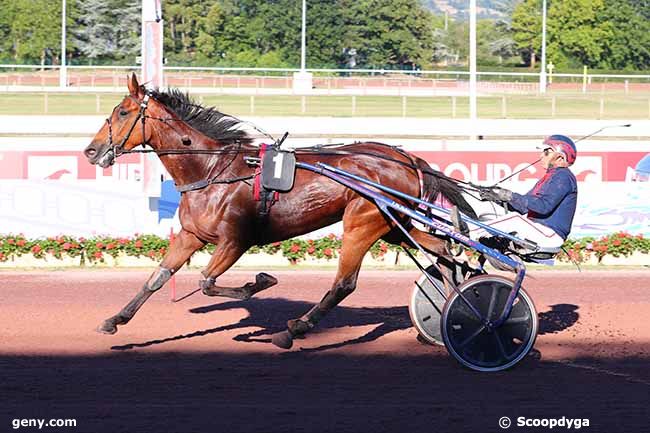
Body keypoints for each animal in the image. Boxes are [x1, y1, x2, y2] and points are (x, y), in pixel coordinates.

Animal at [83, 74, 474, 350]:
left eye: (122, 112)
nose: (91, 151)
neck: (211, 170)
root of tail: (407, 157)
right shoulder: (192, 235)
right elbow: (157, 278)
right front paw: (114, 320)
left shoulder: (235, 240)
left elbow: (207, 282)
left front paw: (258, 283)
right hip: (395, 225)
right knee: (444, 251)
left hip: (362, 222)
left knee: (344, 283)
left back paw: (295, 329)